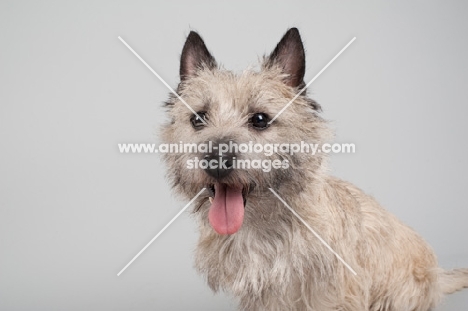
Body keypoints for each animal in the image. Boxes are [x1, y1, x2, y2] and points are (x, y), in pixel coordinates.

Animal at [159, 28, 466, 310]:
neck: (262, 227)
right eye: (198, 118)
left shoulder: (333, 292)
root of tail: (438, 276)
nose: (216, 161)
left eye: (260, 119)